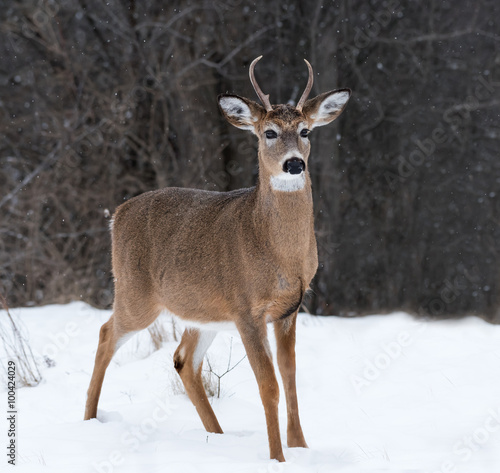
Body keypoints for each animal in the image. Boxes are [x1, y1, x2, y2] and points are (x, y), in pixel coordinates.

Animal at [84, 56, 350, 460]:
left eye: (305, 131)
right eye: (269, 132)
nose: (294, 165)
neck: (277, 251)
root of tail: (118, 213)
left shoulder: (289, 309)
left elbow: (290, 379)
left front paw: (301, 447)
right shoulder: (246, 310)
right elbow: (269, 386)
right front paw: (277, 457)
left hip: (201, 311)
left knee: (183, 360)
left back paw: (218, 436)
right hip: (136, 293)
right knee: (105, 334)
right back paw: (89, 420)